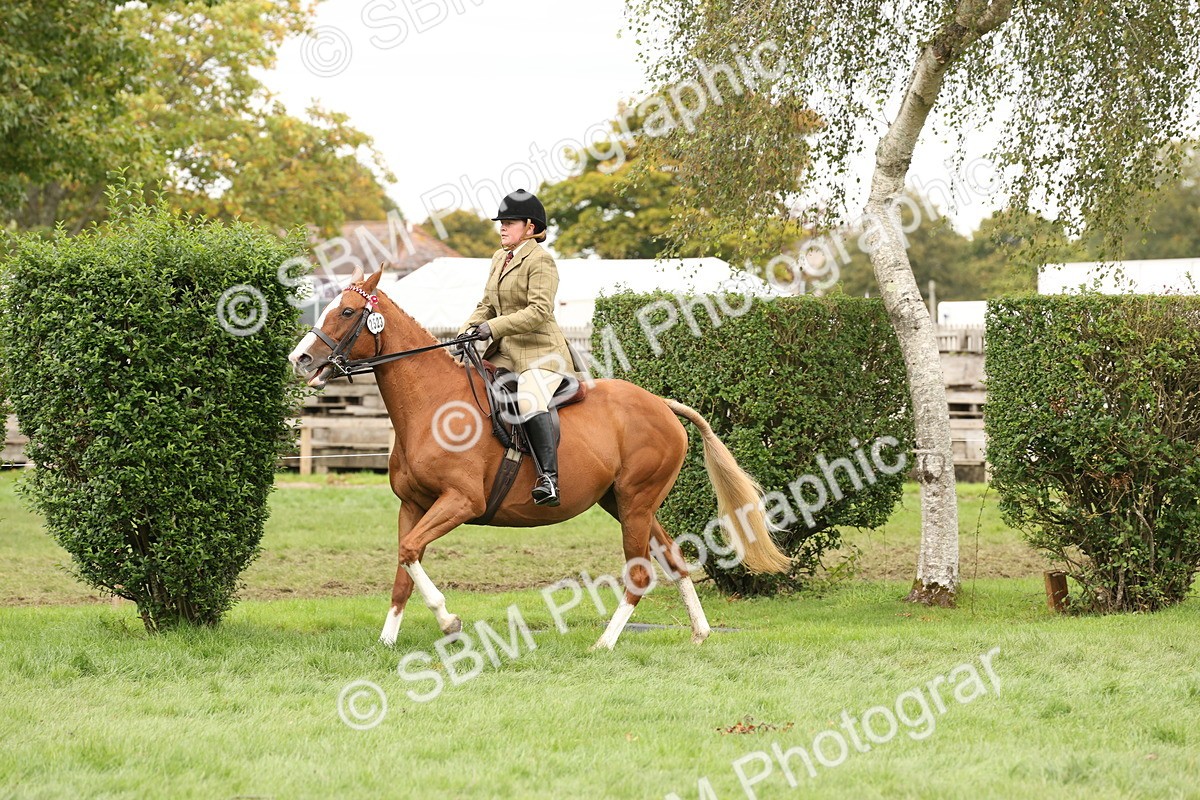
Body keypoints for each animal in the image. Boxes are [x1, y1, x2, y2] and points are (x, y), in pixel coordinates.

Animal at [288, 265, 790, 650]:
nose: (300, 359)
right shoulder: (412, 505)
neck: (431, 405)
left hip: (635, 503)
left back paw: (605, 643)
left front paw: (449, 622)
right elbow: (402, 569)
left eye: (347, 311)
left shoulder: (460, 502)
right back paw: (700, 632)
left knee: (640, 574)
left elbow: (410, 553)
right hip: (626, 502)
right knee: (674, 558)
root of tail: (662, 405)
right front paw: (387, 640)